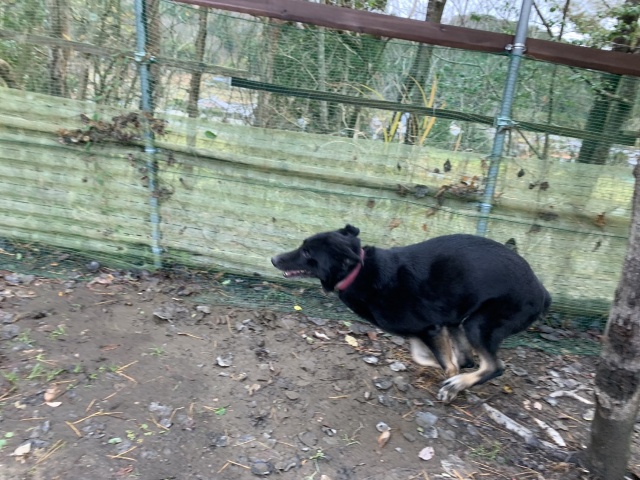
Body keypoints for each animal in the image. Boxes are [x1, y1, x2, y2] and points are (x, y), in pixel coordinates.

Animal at [271, 225, 551, 403]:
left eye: (307, 252)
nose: (273, 259)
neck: (359, 272)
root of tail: (542, 291)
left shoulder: (431, 328)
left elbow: (448, 364)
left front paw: (451, 381)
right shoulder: (425, 330)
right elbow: (430, 358)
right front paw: (449, 369)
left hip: (479, 324)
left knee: (494, 366)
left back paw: (457, 385)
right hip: (460, 321)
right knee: (471, 359)